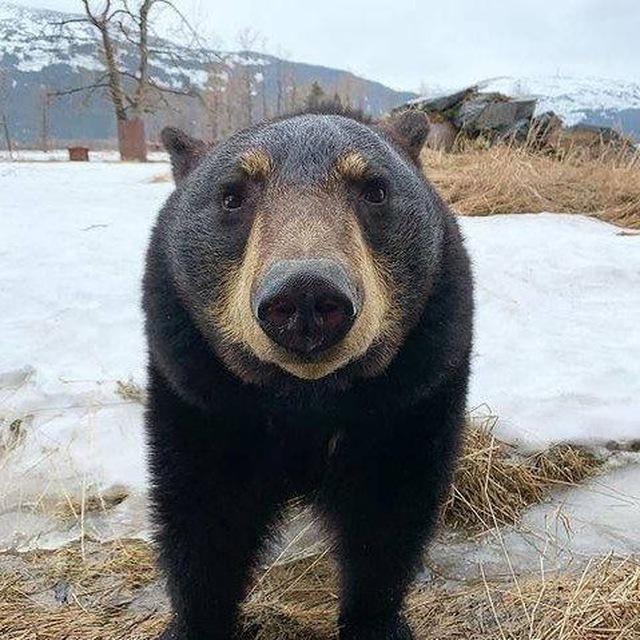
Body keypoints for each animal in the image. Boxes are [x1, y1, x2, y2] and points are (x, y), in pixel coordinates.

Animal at [142, 107, 473, 640]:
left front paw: (375, 620)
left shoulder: (415, 386)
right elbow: (203, 509)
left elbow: (388, 510)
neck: (305, 397)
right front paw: (197, 618)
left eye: (374, 189)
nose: (305, 295)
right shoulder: (200, 389)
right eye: (232, 195)